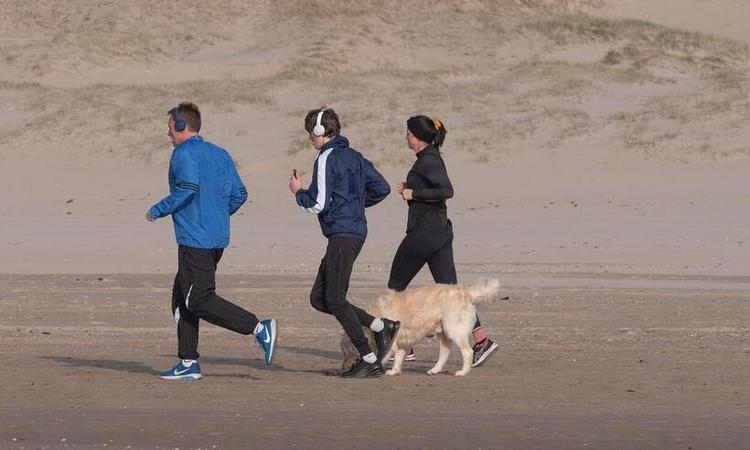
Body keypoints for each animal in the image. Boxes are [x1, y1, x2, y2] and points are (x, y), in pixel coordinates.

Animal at [344, 280, 502, 374]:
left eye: (347, 353)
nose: (342, 368)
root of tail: (465, 292)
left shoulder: (391, 343)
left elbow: (385, 355)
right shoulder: (403, 342)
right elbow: (399, 356)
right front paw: (394, 371)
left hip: (454, 330)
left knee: (467, 352)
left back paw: (462, 372)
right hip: (443, 333)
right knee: (445, 353)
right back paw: (435, 370)